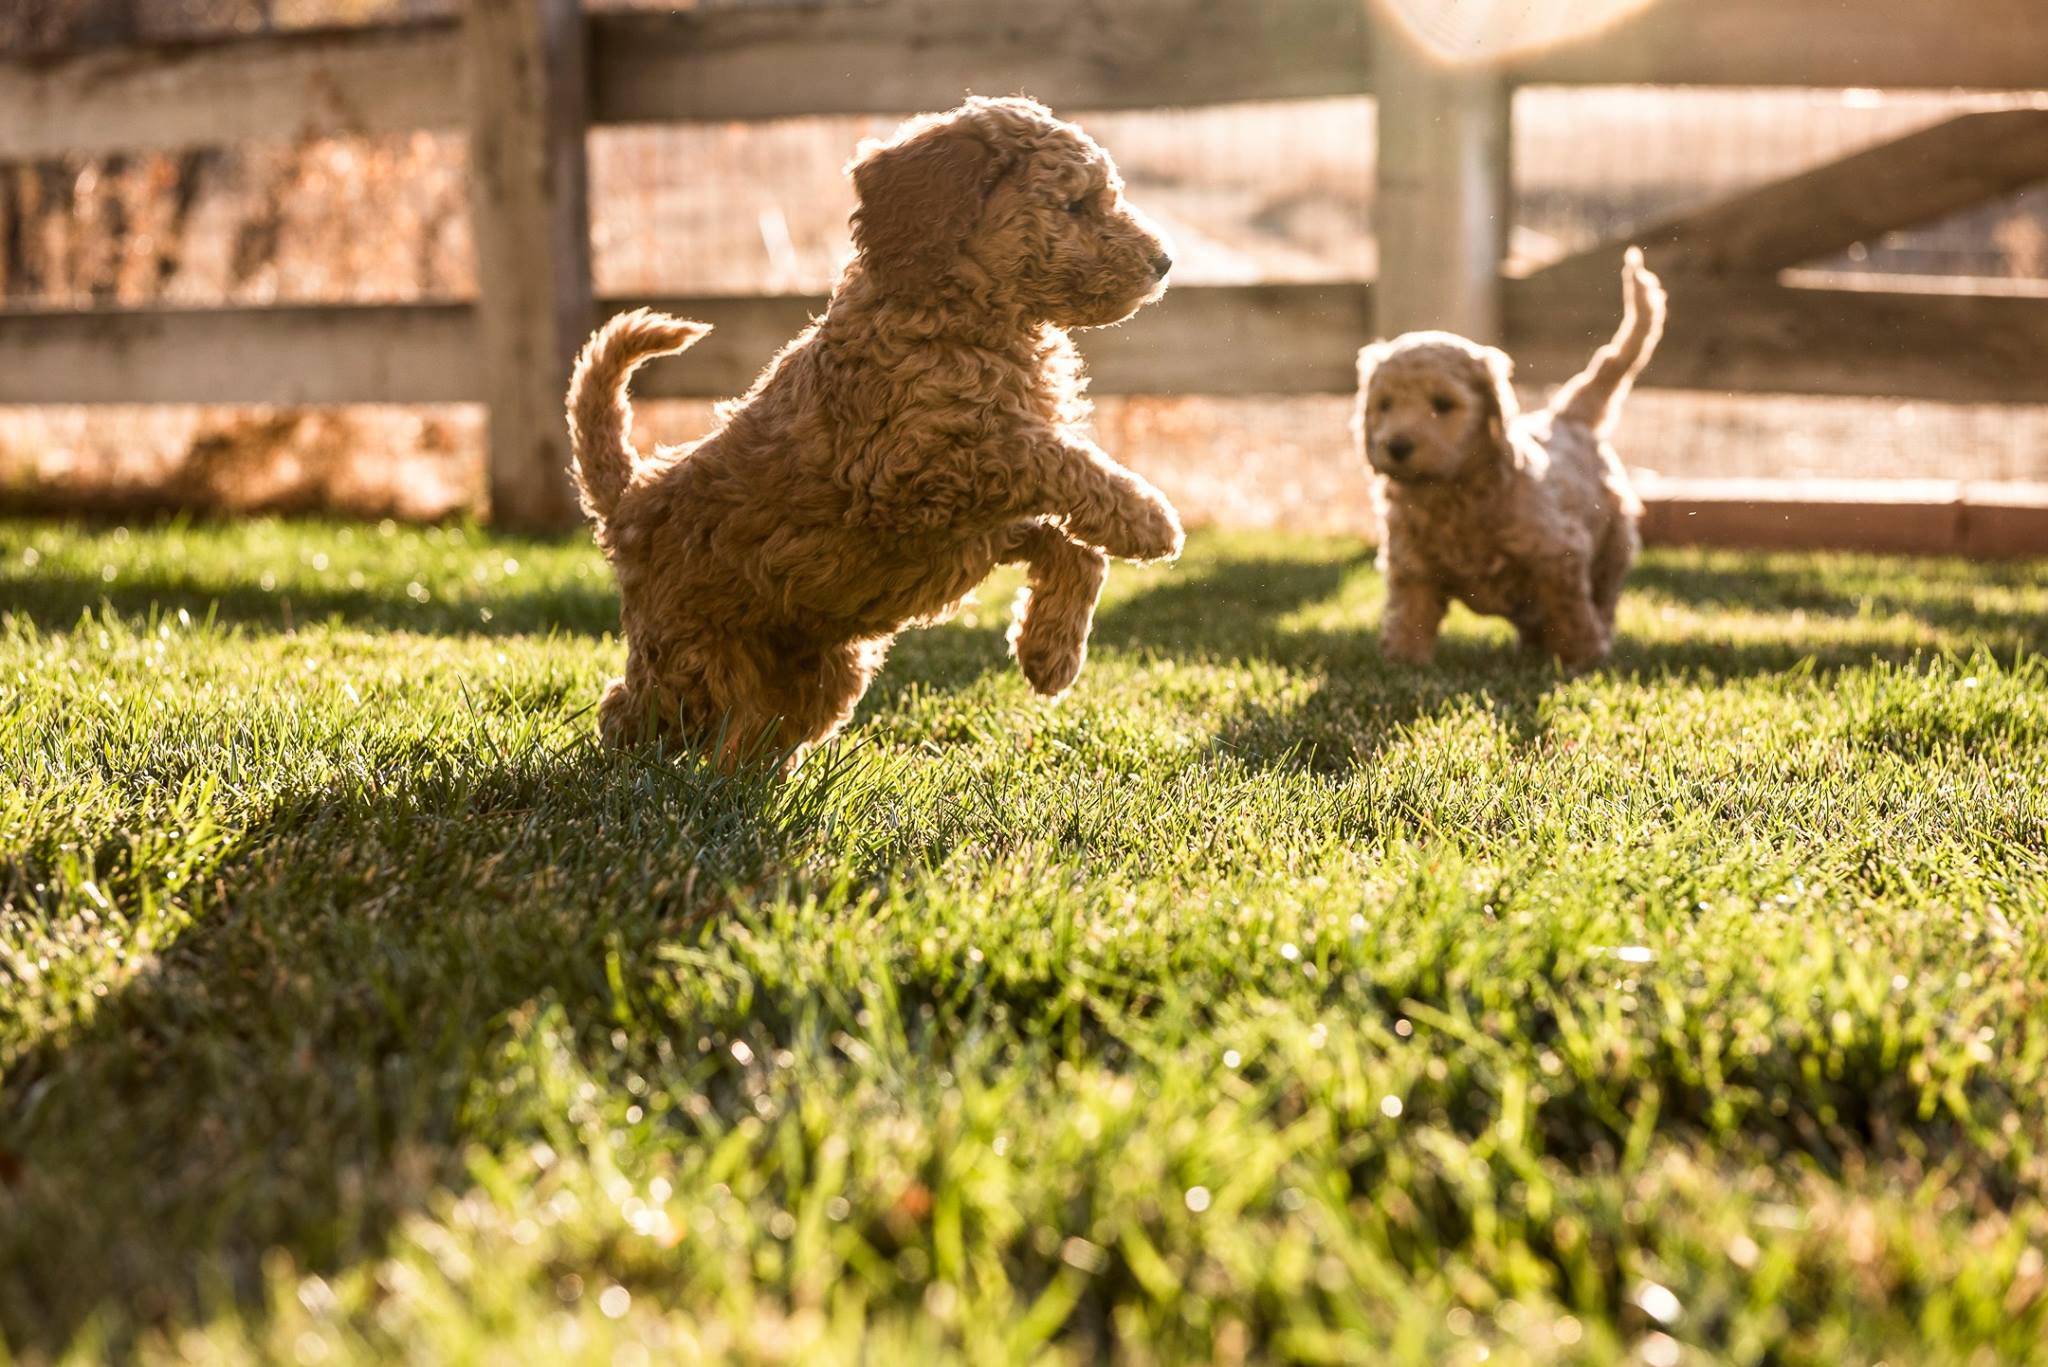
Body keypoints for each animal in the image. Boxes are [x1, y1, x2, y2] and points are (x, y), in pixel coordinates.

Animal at [569, 97, 1196, 770]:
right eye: (1075, 205)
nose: (1164, 262)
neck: (960, 314)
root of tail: (636, 495)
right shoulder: (909, 473)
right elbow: (1048, 453)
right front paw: (1148, 519)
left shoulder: (978, 521)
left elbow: (1073, 546)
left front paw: (1050, 654)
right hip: (691, 661)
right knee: (630, 714)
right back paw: (634, 776)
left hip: (819, 664)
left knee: (763, 728)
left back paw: (754, 781)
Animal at [1359, 251, 1662, 672]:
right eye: (1384, 405)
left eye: (1443, 404)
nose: (1397, 446)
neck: (1451, 491)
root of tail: (1566, 415)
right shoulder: (1411, 563)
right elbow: (1409, 613)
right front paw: (1404, 662)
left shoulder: (1560, 554)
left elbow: (1570, 612)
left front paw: (1581, 659)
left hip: (1614, 541)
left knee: (1602, 597)